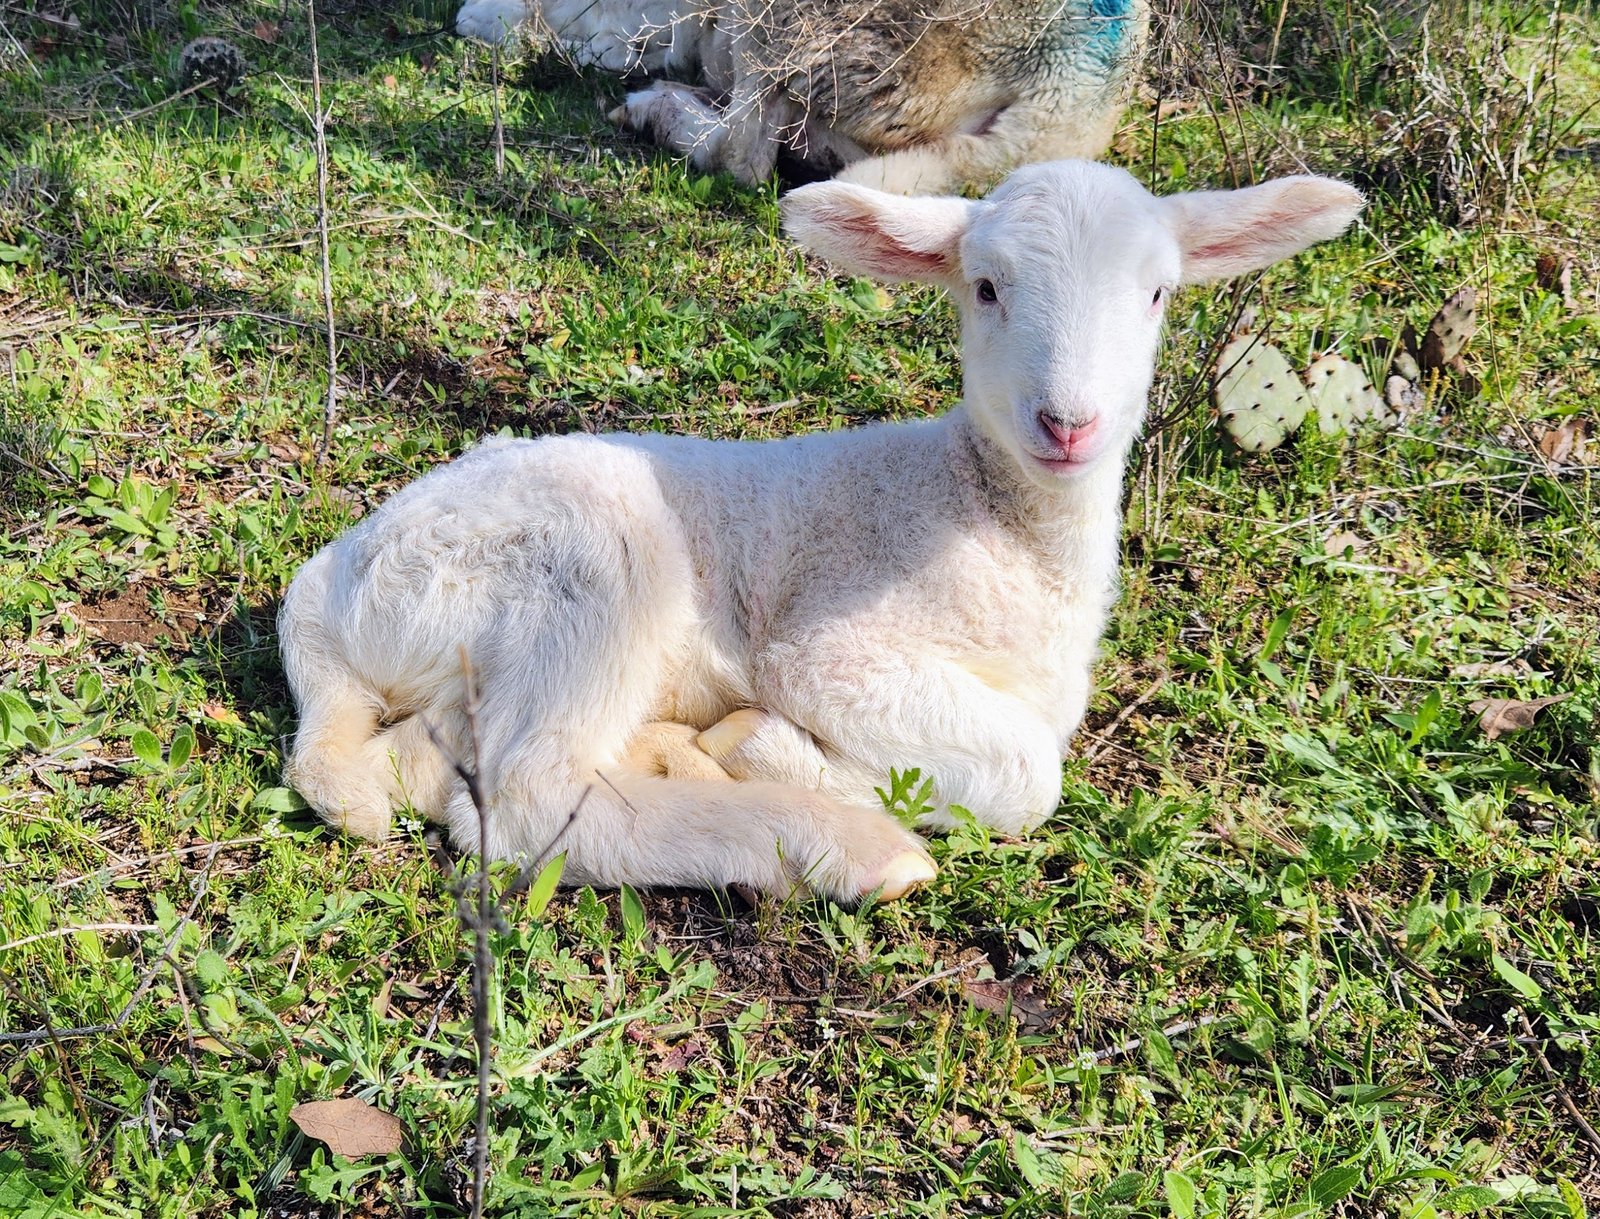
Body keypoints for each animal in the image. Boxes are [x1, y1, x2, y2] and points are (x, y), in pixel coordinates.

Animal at [277, 160, 1362, 903]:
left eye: (1157, 292)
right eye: (984, 287)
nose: (1068, 424)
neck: (988, 514)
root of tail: (327, 588)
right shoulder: (828, 652)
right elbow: (1028, 776)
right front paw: (783, 752)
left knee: (420, 764)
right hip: (586, 567)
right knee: (526, 801)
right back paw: (842, 843)